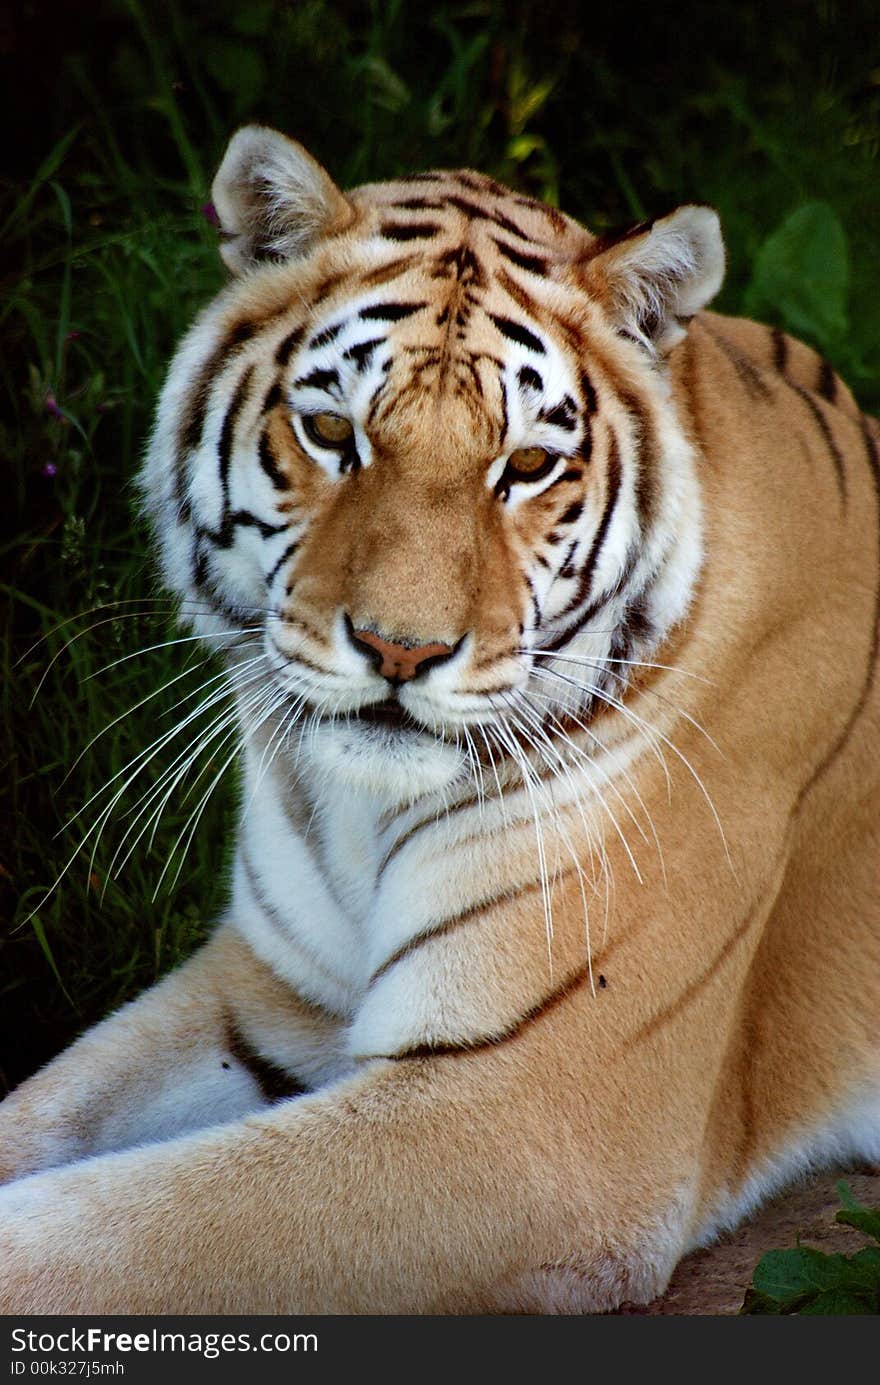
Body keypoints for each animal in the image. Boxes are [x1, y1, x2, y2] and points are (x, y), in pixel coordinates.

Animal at [0, 124, 875, 1312]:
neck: (351, 813)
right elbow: (45, 1109)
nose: (400, 650)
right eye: (332, 432)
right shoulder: (272, 991)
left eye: (529, 464)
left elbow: (123, 1230)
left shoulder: (527, 1108)